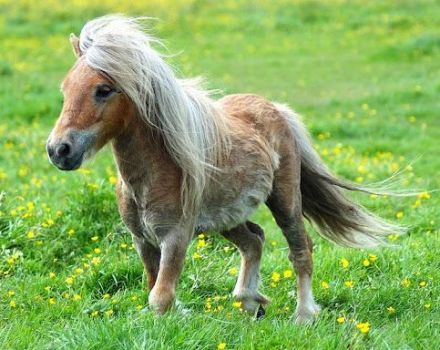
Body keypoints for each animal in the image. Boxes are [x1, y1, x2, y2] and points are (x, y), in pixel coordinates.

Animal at [46, 15, 404, 322]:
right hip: (227, 217)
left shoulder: (176, 237)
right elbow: (154, 289)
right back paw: (250, 302)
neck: (152, 174)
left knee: (300, 249)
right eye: (64, 88)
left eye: (104, 90)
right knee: (254, 240)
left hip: (285, 200)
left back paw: (302, 316)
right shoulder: (142, 240)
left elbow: (160, 297)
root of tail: (276, 109)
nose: (58, 150)